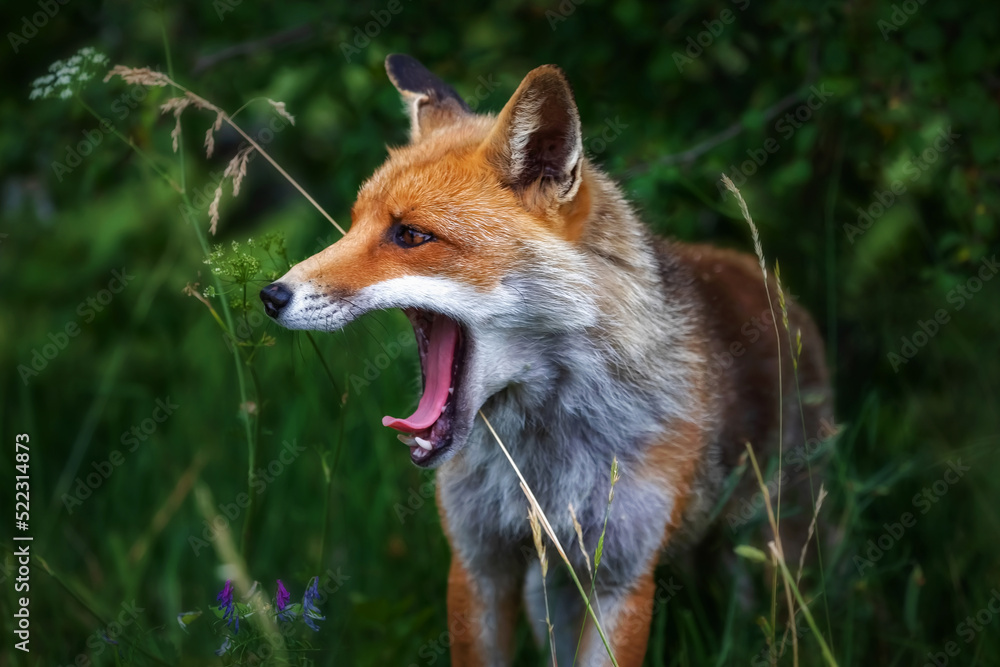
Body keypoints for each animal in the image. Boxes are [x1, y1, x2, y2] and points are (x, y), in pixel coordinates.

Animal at [260, 54, 833, 666]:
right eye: (353, 223)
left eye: (410, 235)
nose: (271, 296)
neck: (544, 459)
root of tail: (773, 285)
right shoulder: (478, 561)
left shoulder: (623, 576)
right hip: (551, 589)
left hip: (775, 559)